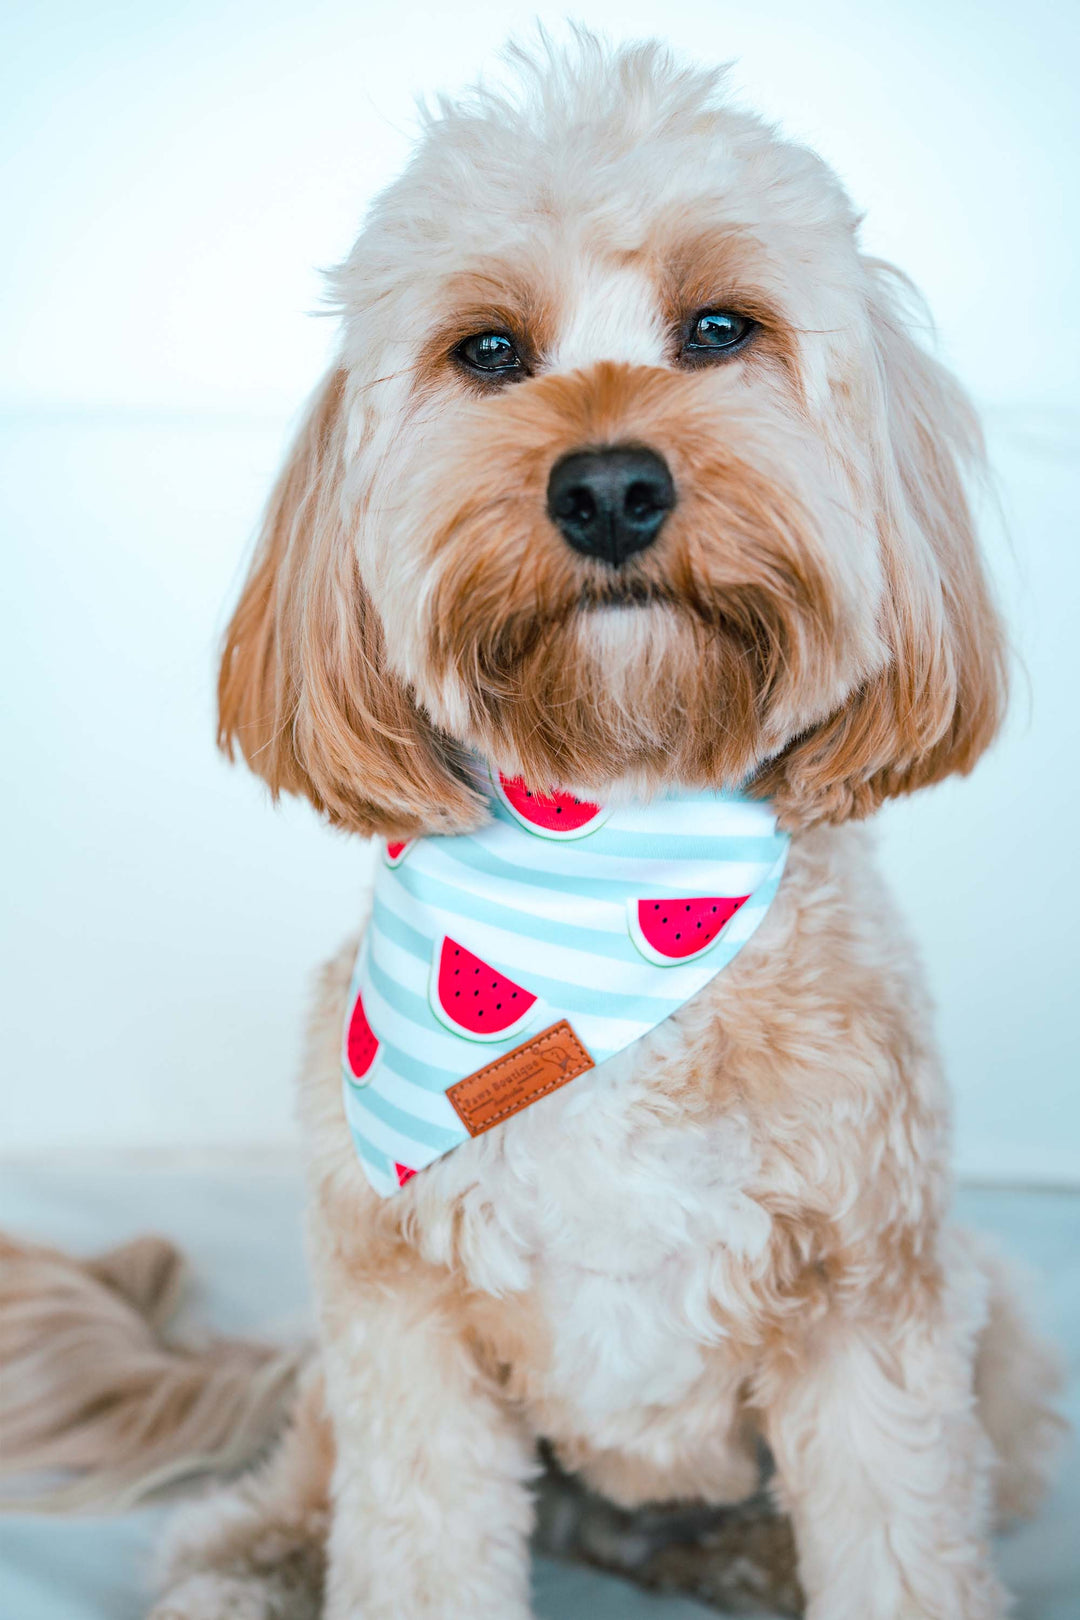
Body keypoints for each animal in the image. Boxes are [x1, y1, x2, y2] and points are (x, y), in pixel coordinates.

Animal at [8, 31, 1062, 1620]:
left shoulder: (877, 1309)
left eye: (720, 328)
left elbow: (899, 1548)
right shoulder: (403, 1325)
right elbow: (414, 1545)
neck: (607, 841)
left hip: (994, 1319)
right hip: (340, 1346)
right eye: (490, 352)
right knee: (297, 1476)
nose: (612, 486)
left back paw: (744, 1555)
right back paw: (251, 1561)